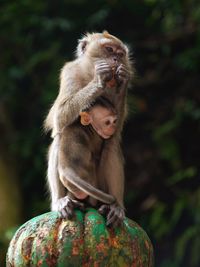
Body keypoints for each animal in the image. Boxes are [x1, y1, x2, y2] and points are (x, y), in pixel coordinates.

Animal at [45, 31, 133, 228]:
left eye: (120, 54)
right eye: (109, 49)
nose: (116, 59)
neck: (88, 73)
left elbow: (115, 131)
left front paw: (122, 79)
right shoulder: (70, 73)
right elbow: (60, 117)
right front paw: (99, 81)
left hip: (97, 187)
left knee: (111, 146)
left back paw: (115, 206)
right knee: (60, 137)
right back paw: (61, 201)